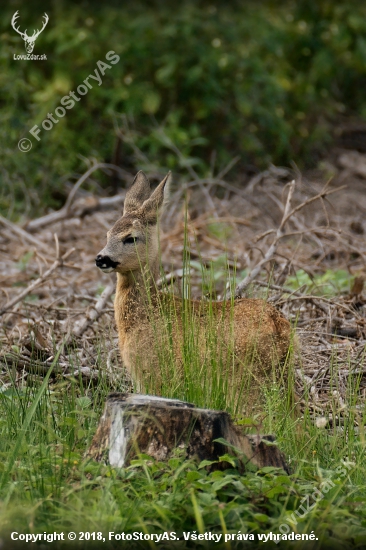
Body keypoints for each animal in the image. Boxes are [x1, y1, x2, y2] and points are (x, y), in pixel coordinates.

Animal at [96, 175, 292, 412]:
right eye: (107, 234)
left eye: (130, 238)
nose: (101, 258)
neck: (145, 313)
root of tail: (279, 325)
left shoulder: (152, 373)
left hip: (245, 379)